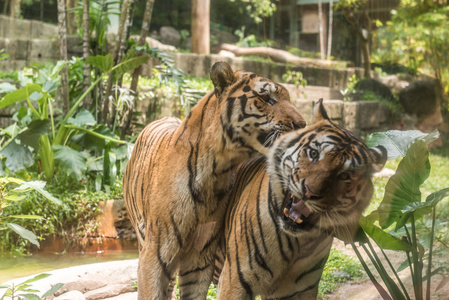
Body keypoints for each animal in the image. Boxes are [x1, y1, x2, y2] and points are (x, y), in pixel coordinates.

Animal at [214, 99, 384, 300]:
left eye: (346, 175)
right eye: (314, 153)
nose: (310, 192)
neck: (294, 244)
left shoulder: (300, 290)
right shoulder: (234, 283)